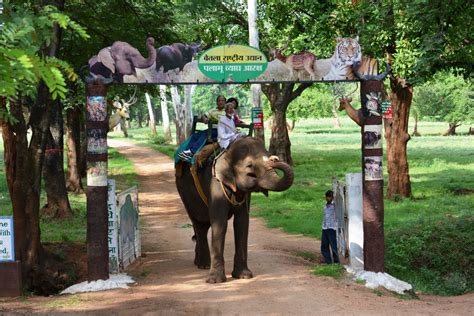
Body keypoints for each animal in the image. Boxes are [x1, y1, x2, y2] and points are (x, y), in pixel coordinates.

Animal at [175, 137, 292, 282]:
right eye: (249, 166)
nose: (275, 159)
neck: (228, 152)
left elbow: (241, 223)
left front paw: (244, 276)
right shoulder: (215, 183)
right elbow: (220, 223)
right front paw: (216, 281)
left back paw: (199, 262)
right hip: (184, 192)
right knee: (199, 223)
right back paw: (204, 265)